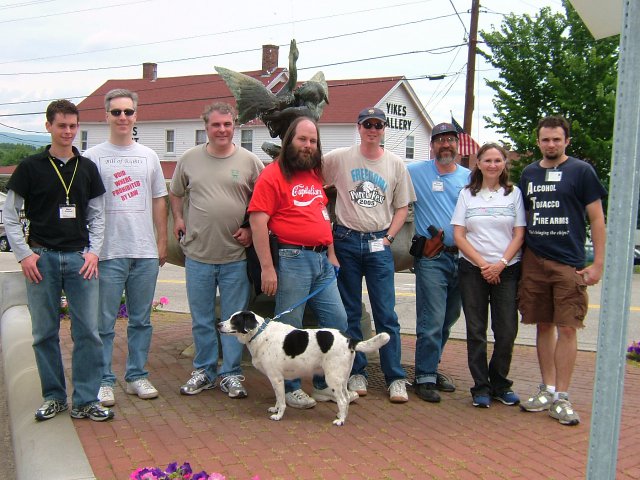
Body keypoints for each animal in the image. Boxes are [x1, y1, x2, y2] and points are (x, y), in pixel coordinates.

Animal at [219, 312, 390, 428]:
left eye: (234, 320)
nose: (219, 324)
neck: (260, 333)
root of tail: (350, 340)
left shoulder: (276, 378)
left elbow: (282, 400)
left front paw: (278, 415)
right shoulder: (276, 380)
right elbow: (278, 398)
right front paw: (275, 408)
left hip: (332, 378)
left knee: (342, 400)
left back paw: (340, 420)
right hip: (342, 377)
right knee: (346, 398)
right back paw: (342, 415)